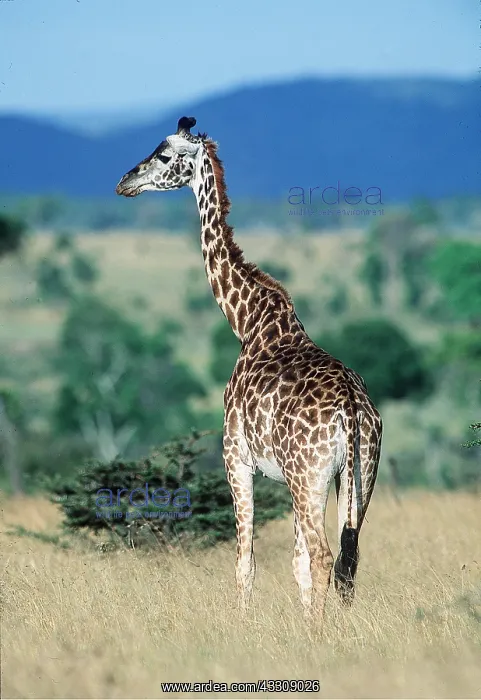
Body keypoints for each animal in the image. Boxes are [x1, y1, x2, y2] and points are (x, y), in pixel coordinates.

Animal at [116, 116, 383, 625]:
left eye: (163, 155)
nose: (124, 182)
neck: (247, 321)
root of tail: (353, 410)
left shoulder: (234, 454)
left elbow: (247, 559)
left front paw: (243, 624)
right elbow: (296, 564)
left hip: (309, 476)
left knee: (324, 555)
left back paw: (321, 631)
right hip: (355, 476)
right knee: (348, 556)